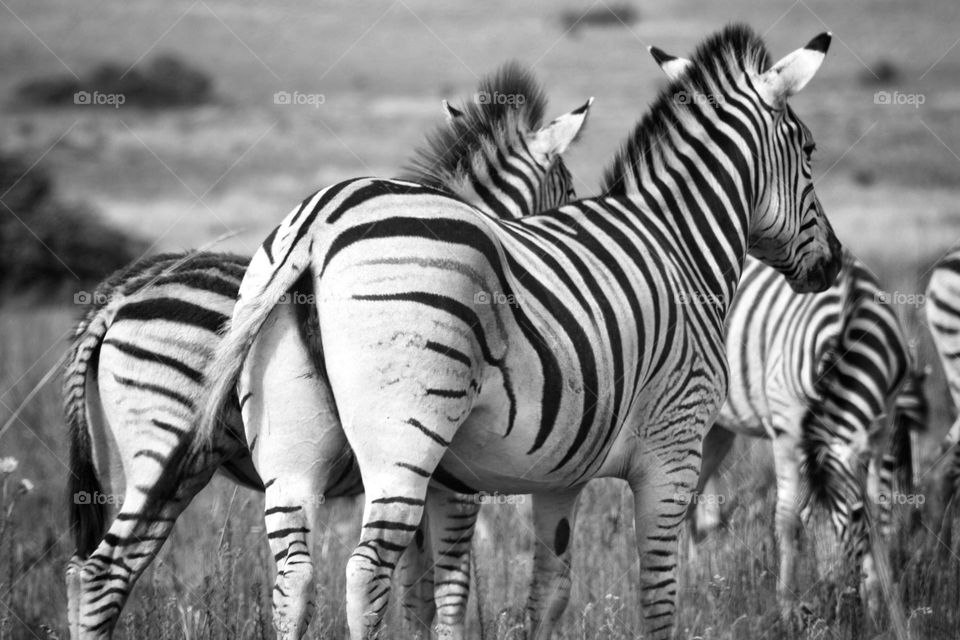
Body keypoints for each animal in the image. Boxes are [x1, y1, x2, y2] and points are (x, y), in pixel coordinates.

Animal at [63, 62, 590, 640]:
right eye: (569, 190)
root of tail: (117, 297)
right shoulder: (448, 475)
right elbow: (446, 589)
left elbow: (417, 591)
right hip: (165, 447)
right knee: (104, 572)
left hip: (121, 464)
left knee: (90, 573)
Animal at [198, 24, 842, 640]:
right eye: (810, 151)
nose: (833, 263)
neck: (680, 242)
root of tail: (319, 219)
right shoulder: (671, 450)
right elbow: (652, 597)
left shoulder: (558, 475)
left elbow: (544, 592)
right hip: (404, 439)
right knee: (365, 569)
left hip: (290, 446)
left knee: (294, 576)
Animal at [681, 250, 924, 620]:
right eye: (810, 521)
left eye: (854, 516)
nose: (837, 597)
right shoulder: (787, 428)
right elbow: (786, 518)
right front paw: (787, 608)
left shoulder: (882, 423)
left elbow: (879, 510)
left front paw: (876, 603)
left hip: (719, 429)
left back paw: (700, 593)